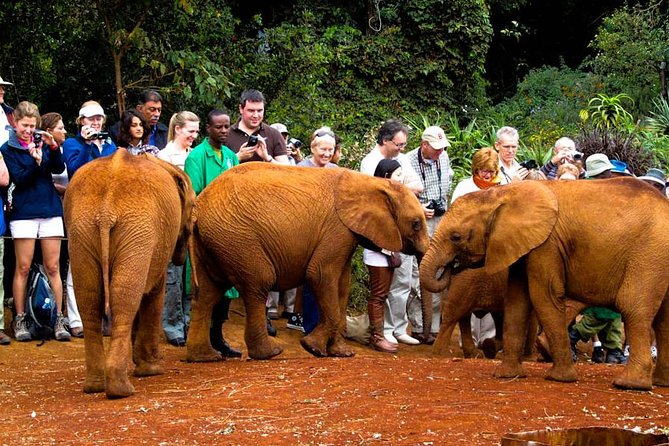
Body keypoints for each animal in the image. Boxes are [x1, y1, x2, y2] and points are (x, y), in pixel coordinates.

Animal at [64, 149, 195, 398]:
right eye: (194, 206)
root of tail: (105, 212)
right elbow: (154, 293)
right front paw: (151, 370)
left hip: (81, 232)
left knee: (91, 301)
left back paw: (96, 386)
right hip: (137, 231)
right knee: (125, 300)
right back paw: (122, 390)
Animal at [186, 162, 430, 362]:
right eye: (417, 224)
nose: (423, 338)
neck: (372, 182)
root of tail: (198, 206)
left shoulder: (346, 234)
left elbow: (342, 286)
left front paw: (341, 353)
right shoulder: (337, 228)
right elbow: (320, 275)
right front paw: (312, 348)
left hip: (215, 241)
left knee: (207, 294)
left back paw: (205, 357)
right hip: (238, 239)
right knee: (259, 284)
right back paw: (270, 353)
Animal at [420, 177, 669, 391]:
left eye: (456, 237)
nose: (451, 267)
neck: (502, 194)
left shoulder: (546, 245)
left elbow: (543, 297)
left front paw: (559, 378)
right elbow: (517, 301)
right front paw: (507, 375)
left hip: (648, 255)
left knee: (634, 309)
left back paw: (629, 385)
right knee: (661, 319)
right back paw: (658, 383)